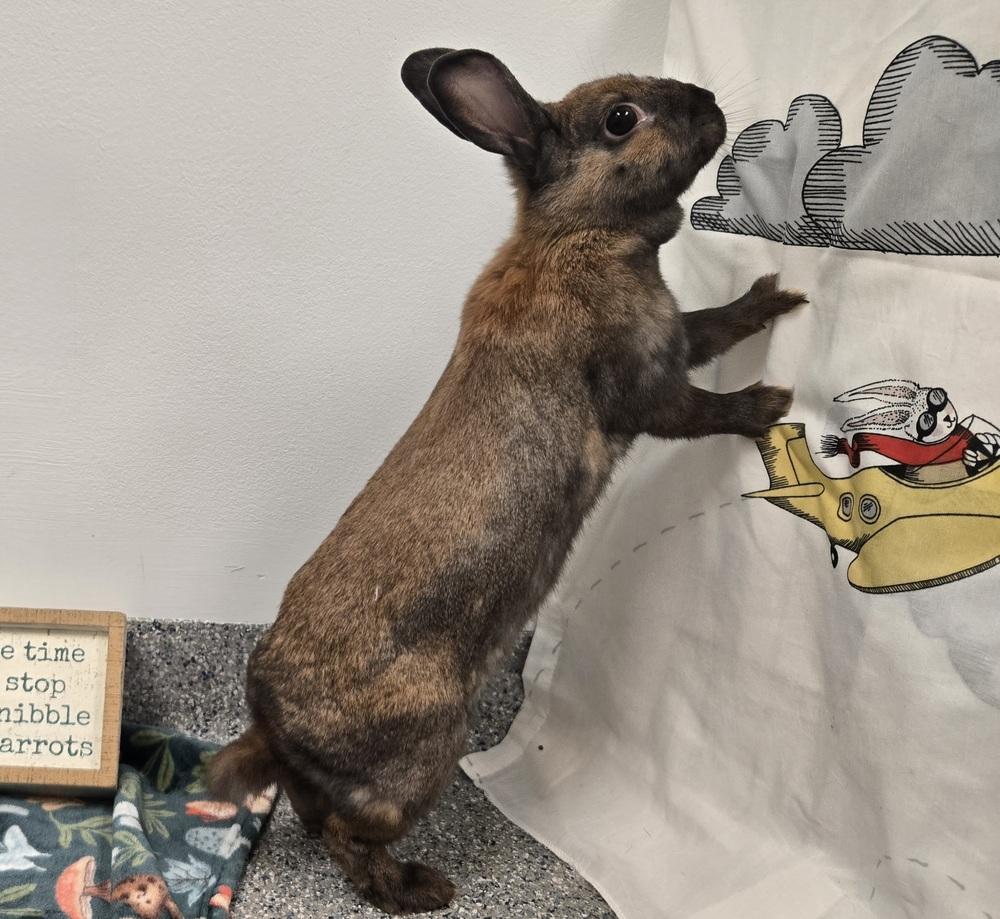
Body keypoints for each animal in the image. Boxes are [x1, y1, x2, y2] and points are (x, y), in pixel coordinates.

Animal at [207, 48, 806, 914]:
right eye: (621, 118)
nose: (708, 101)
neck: (579, 236)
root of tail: (271, 722)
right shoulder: (645, 384)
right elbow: (698, 407)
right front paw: (767, 403)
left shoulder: (675, 336)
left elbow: (715, 324)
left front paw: (774, 296)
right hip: (422, 755)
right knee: (352, 839)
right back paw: (423, 888)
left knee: (321, 823)